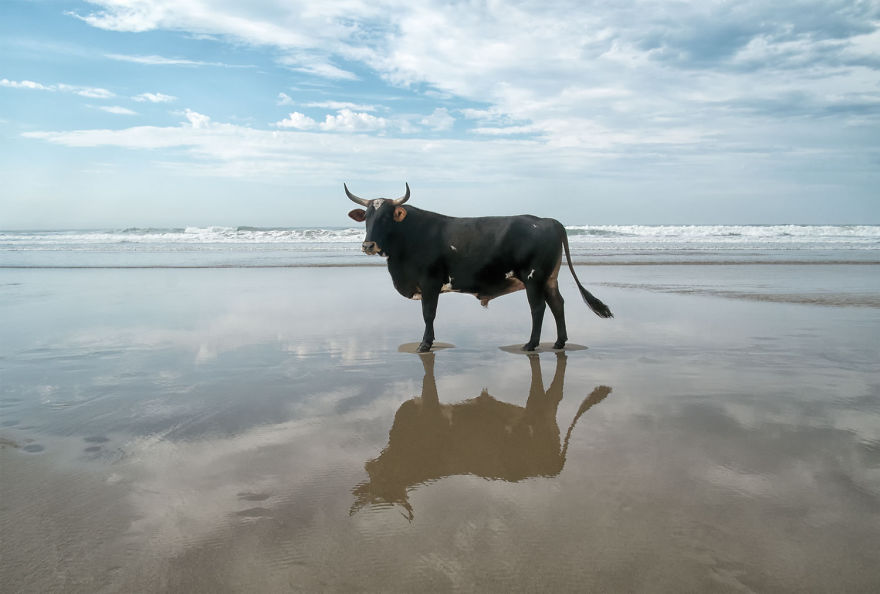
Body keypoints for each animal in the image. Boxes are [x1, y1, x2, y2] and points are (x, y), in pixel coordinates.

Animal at [345, 183, 612, 352]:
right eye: (367, 217)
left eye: (386, 217)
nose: (368, 245)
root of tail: (549, 221)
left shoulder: (430, 282)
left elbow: (428, 314)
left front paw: (425, 344)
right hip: (548, 278)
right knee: (558, 304)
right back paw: (559, 343)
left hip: (533, 278)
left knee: (538, 308)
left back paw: (531, 344)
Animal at [350, 351, 612, 519]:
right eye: (377, 489)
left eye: (388, 485)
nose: (372, 468)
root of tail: (553, 469)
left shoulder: (431, 407)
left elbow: (428, 380)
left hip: (540, 418)